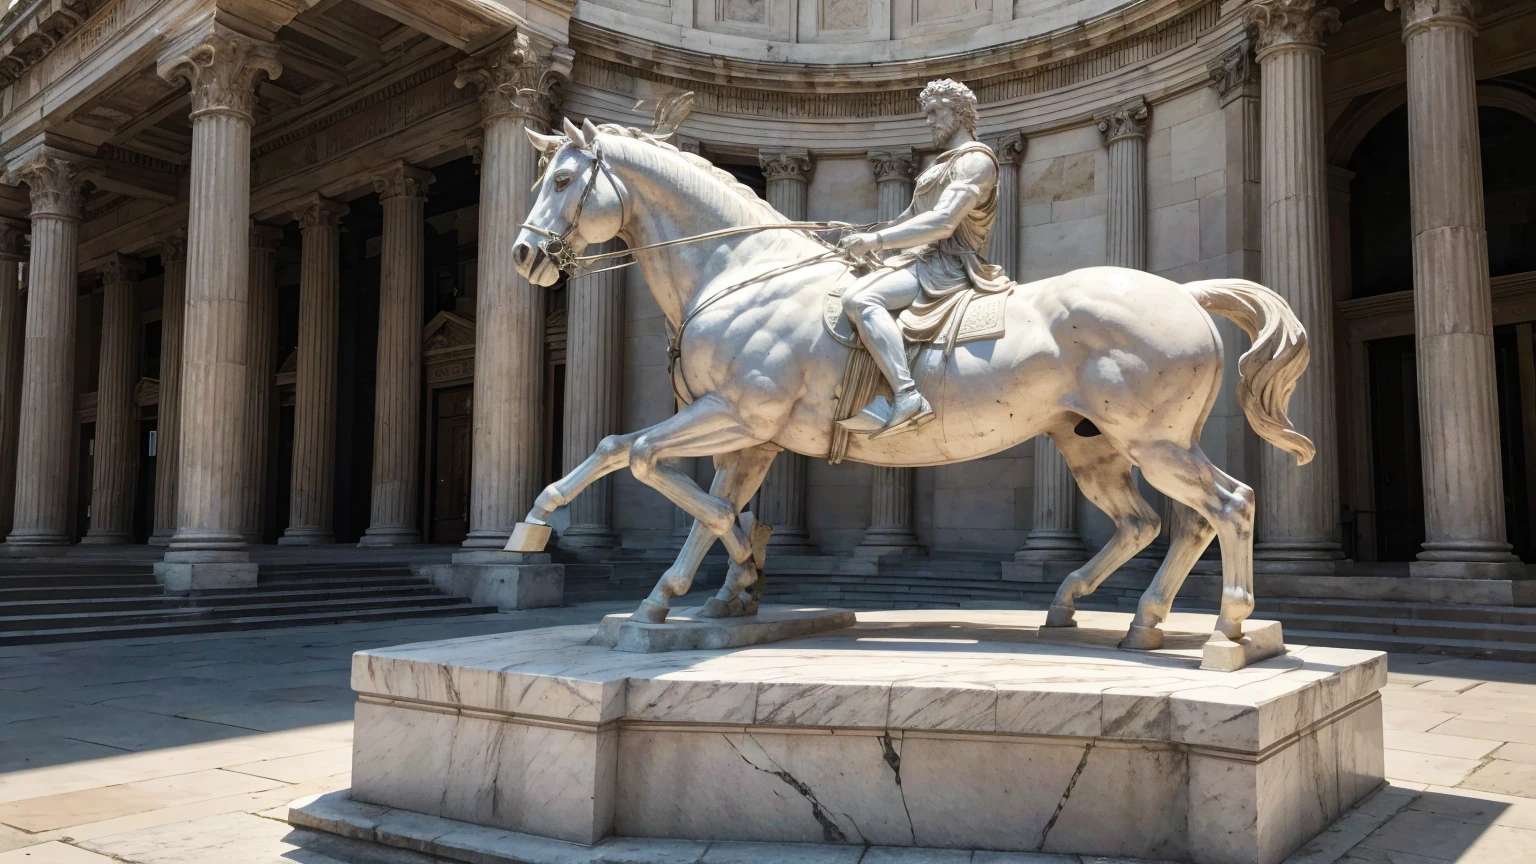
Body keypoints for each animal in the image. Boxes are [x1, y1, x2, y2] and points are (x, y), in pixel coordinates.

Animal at [503, 117, 1308, 648]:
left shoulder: (737, 414)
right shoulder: (751, 437)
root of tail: (1186, 294)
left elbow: (634, 454)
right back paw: (1115, 614)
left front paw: (542, 528)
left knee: (1229, 505)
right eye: (542, 178)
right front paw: (694, 591)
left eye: (565, 180)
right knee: (1159, 523)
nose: (523, 257)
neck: (741, 273)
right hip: (1097, 446)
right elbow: (679, 490)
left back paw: (1228, 630)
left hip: (1154, 442)